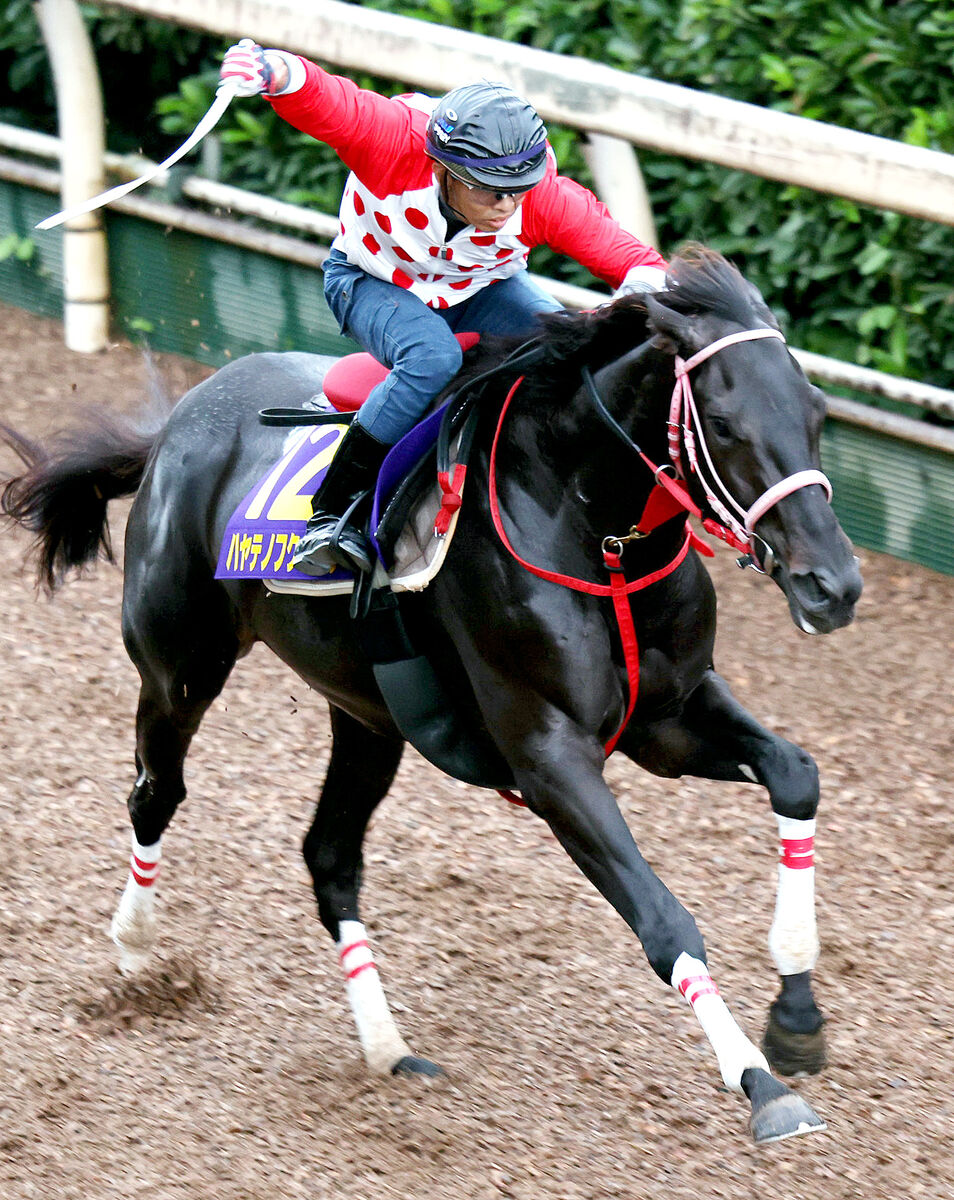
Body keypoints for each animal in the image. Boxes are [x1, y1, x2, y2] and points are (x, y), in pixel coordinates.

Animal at [0, 246, 864, 1142]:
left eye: (816, 411)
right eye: (723, 424)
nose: (832, 585)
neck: (592, 528)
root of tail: (177, 425)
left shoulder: (667, 717)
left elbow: (796, 774)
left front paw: (797, 1019)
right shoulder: (550, 757)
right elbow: (663, 918)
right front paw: (760, 1084)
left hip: (368, 717)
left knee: (329, 857)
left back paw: (388, 1049)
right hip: (181, 668)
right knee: (156, 793)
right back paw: (136, 947)